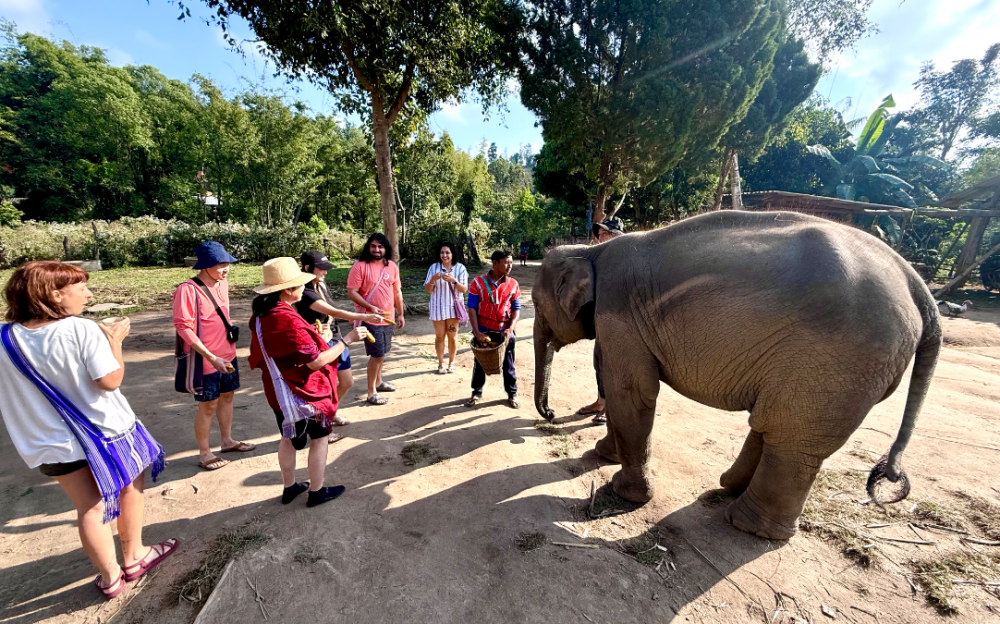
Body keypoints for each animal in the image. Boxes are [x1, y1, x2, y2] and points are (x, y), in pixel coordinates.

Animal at [536, 211, 940, 540]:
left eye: (537, 305)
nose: (551, 414)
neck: (593, 251)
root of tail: (918, 287)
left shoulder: (620, 315)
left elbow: (631, 392)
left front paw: (623, 490)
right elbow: (620, 386)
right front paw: (603, 454)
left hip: (838, 364)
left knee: (791, 435)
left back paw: (749, 526)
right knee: (775, 425)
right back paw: (729, 489)